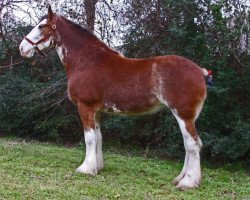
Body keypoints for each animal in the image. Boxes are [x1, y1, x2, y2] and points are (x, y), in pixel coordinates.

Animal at [19, 5, 208, 191]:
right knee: (191, 144)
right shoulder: (96, 111)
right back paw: (181, 179)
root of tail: (200, 71)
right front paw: (97, 167)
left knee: (192, 144)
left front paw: (85, 169)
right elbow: (98, 137)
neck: (86, 60)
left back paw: (188, 182)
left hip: (183, 114)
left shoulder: (85, 107)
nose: (22, 48)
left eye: (41, 26)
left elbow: (89, 138)